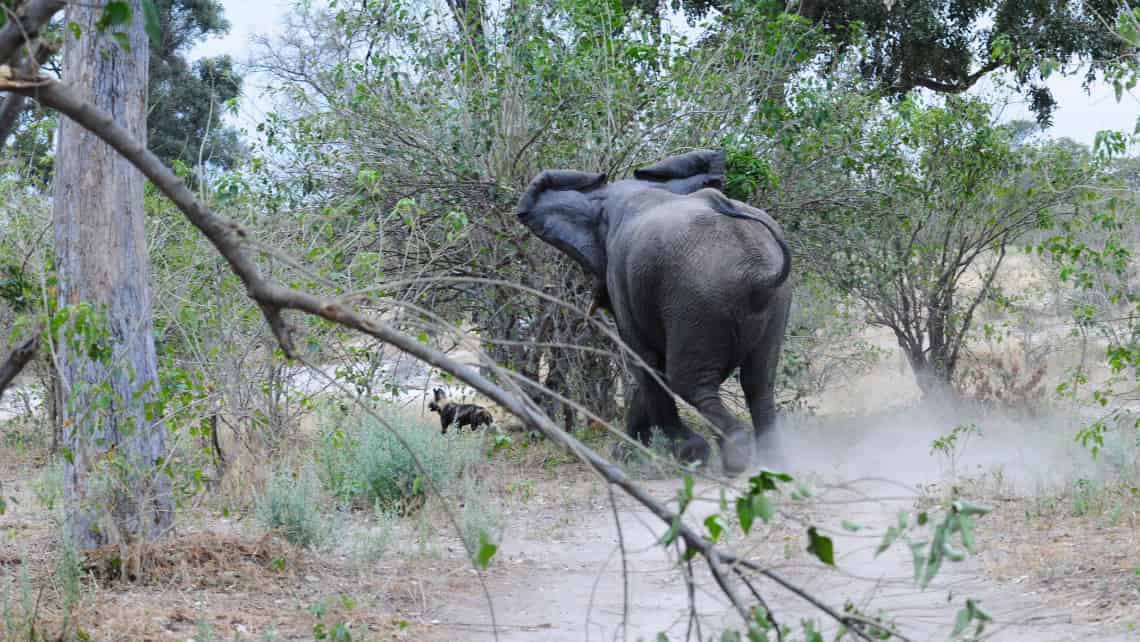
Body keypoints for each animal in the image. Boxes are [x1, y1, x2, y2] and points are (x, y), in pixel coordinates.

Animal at [517, 148, 793, 474]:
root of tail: (757, 272)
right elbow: (648, 365)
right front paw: (629, 453)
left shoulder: (622, 279)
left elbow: (643, 361)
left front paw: (677, 452)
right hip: (774, 302)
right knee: (759, 381)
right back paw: (772, 459)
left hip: (696, 299)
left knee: (688, 382)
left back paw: (725, 456)